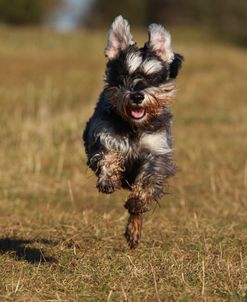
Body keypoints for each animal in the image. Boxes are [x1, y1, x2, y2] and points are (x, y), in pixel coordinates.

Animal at [83, 15, 183, 249]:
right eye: (124, 75)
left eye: (152, 77)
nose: (137, 96)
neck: (134, 126)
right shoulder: (103, 138)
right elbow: (108, 157)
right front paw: (108, 180)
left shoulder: (157, 153)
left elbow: (146, 183)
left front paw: (137, 200)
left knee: (138, 211)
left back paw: (134, 231)